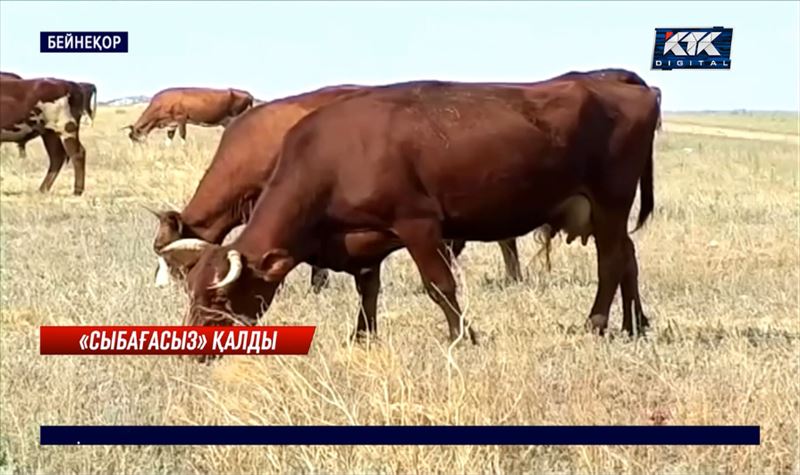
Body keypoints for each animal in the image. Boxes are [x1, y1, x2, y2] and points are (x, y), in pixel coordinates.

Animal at [121, 86, 253, 144]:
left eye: (135, 138)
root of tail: (248, 94)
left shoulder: (181, 118)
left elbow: (182, 135)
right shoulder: (172, 123)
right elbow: (169, 139)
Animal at [158, 76, 664, 348]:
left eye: (222, 299)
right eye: (192, 291)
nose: (193, 347)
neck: (335, 154)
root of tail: (629, 87)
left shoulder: (419, 225)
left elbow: (439, 286)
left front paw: (463, 336)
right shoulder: (362, 241)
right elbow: (368, 290)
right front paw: (362, 337)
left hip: (610, 205)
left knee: (611, 263)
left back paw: (596, 324)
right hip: (607, 215)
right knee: (628, 260)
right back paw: (634, 324)